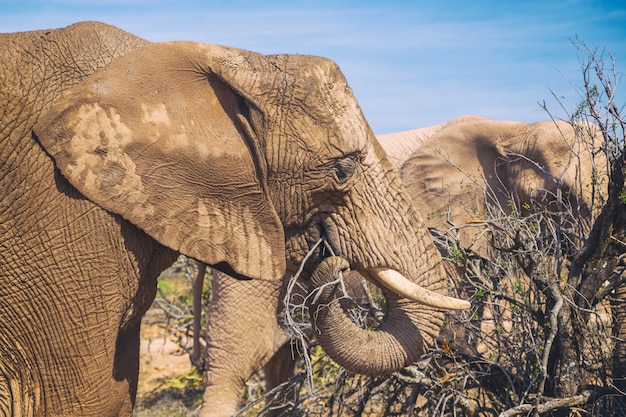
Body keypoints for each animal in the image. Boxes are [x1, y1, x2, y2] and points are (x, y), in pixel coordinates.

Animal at [195, 115, 604, 414]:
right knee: (231, 368)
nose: (332, 255)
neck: (515, 129)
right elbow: (453, 330)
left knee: (281, 367)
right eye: (562, 194)